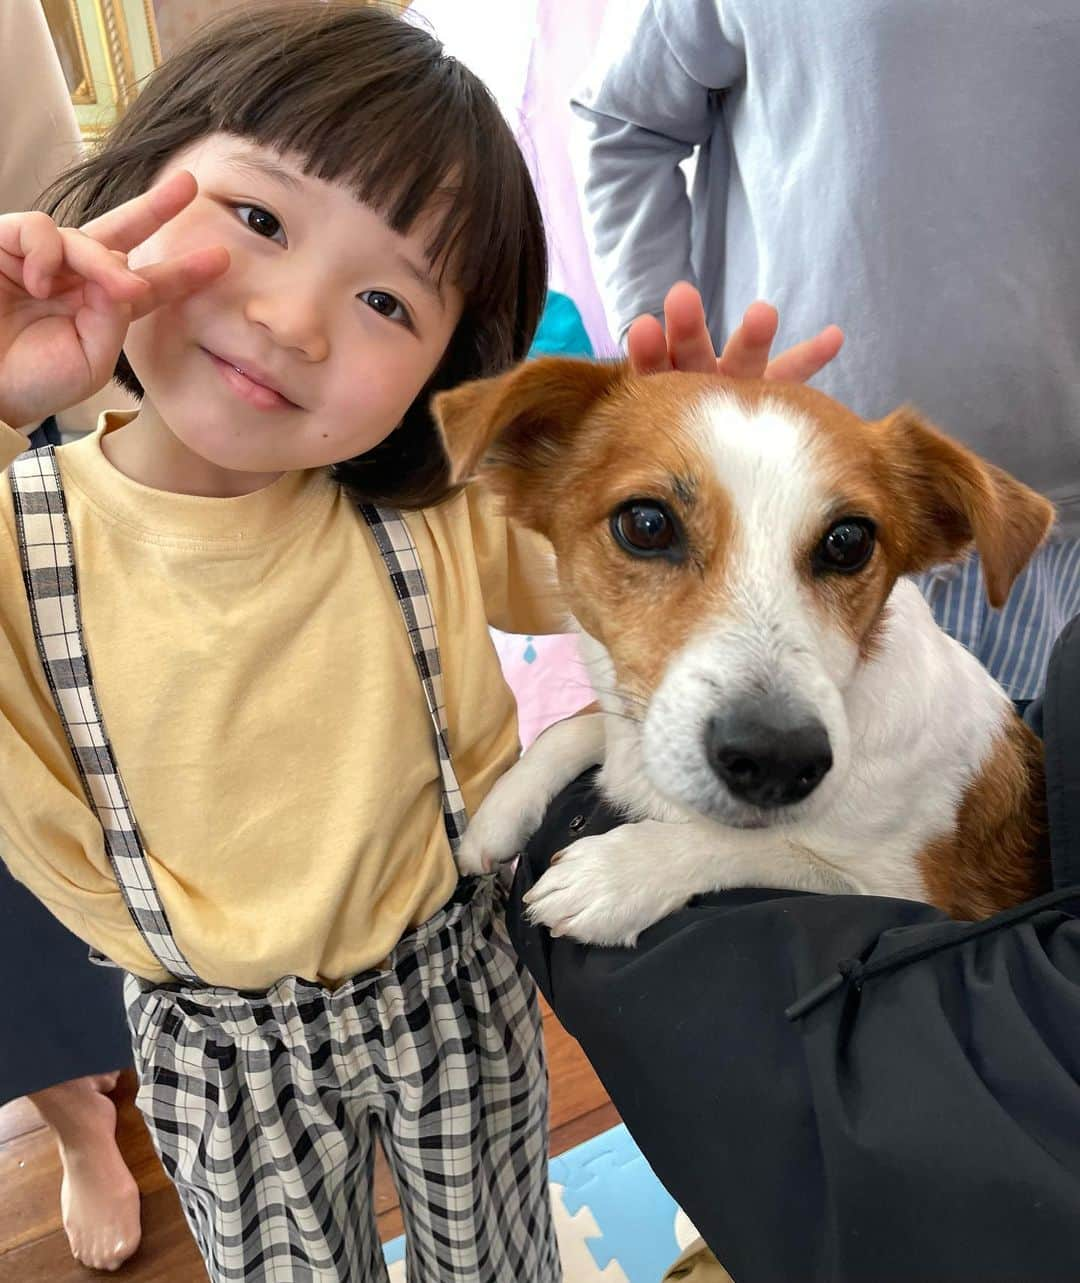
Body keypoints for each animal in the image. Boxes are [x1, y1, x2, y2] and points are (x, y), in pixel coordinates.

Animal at [430, 356, 1051, 949]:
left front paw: (619, 873)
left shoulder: (907, 892)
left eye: (849, 542)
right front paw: (499, 812)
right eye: (646, 523)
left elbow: (766, 850)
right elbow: (575, 727)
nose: (779, 759)